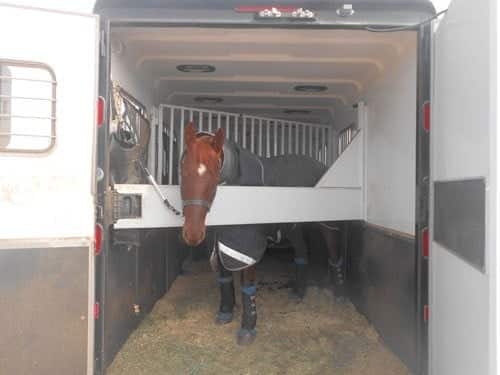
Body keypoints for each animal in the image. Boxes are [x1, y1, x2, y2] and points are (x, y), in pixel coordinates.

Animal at [181, 124, 348, 346]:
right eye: (182, 169)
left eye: (215, 171)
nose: (192, 233)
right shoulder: (220, 242)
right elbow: (224, 279)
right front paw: (225, 312)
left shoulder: (246, 245)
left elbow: (247, 285)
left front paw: (248, 328)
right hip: (293, 227)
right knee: (302, 253)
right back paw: (298, 293)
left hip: (327, 225)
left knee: (334, 254)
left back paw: (339, 295)